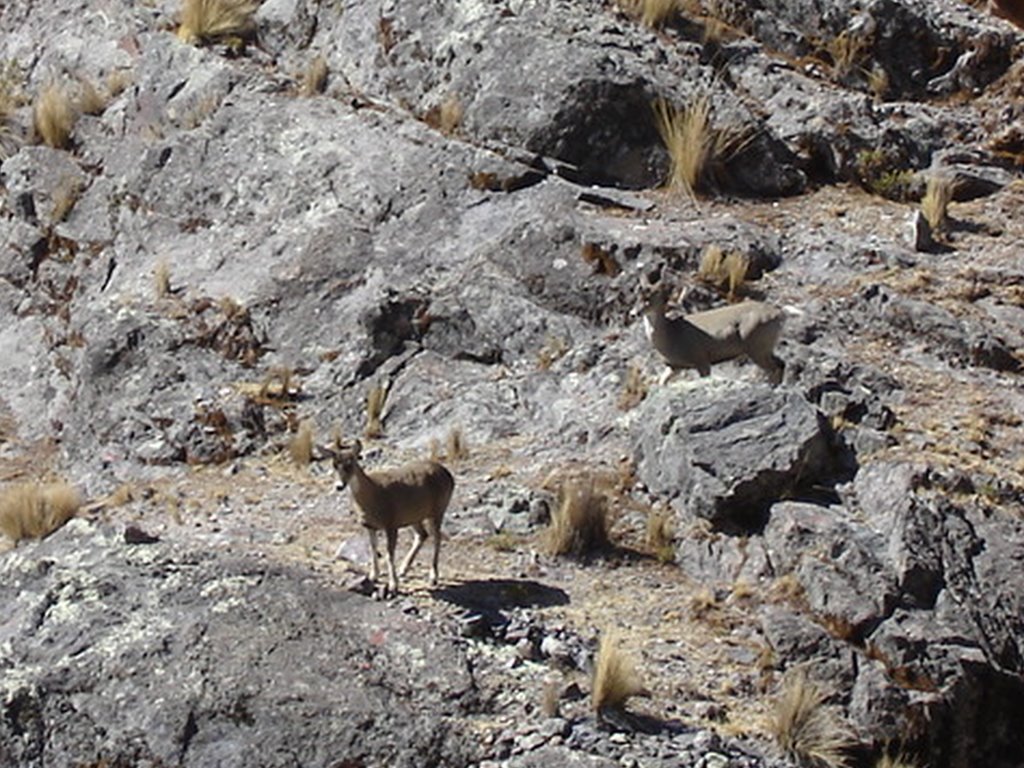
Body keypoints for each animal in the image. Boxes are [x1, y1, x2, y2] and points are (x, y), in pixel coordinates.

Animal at [323, 438, 456, 602]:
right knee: (422, 535)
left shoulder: (391, 523)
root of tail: (449, 476)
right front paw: (373, 575)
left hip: (438, 509)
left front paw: (393, 586)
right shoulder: (370, 526)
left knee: (437, 538)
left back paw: (433, 577)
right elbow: (373, 548)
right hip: (413, 515)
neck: (373, 495)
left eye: (350, 464)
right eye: (334, 465)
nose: (339, 486)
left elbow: (389, 554)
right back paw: (403, 569)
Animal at [638, 284, 790, 385]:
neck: (671, 334)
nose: (635, 313)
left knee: (774, 367)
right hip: (765, 347)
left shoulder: (701, 359)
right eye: (637, 298)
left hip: (756, 346)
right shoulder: (674, 366)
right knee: (781, 363)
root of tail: (779, 314)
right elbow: (662, 382)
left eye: (648, 299)